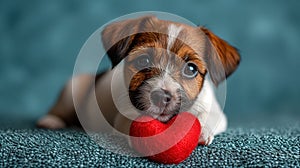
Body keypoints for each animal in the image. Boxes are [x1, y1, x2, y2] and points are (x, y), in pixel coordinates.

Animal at [37, 15, 240, 146]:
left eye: (191, 69)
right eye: (144, 61)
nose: (161, 97)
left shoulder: (214, 110)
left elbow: (207, 115)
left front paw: (202, 129)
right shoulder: (125, 115)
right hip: (73, 87)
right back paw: (50, 121)